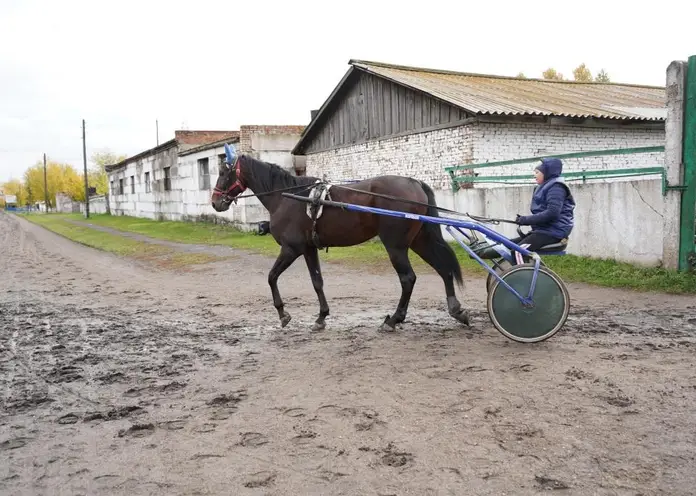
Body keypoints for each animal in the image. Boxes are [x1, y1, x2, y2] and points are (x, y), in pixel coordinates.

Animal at [209, 143, 470, 334]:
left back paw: (393, 319)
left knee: (408, 279)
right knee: (443, 268)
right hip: (419, 242)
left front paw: (283, 315)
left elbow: (272, 277)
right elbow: (317, 282)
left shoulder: (291, 249)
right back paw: (456, 310)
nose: (215, 202)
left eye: (223, 172)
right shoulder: (309, 249)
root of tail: (414, 183)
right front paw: (321, 317)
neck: (288, 197)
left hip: (396, 246)